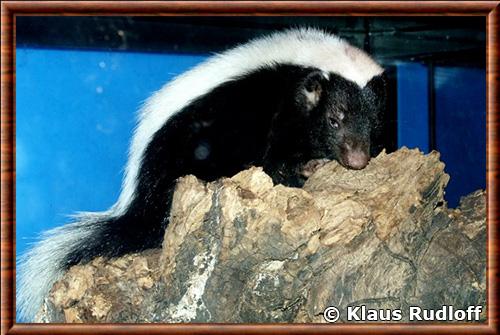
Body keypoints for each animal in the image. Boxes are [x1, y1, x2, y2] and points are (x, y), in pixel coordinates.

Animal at [17, 27, 386, 322]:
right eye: (334, 120)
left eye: (373, 123)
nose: (357, 159)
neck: (299, 68)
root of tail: (138, 204)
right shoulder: (276, 111)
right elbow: (274, 158)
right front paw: (305, 168)